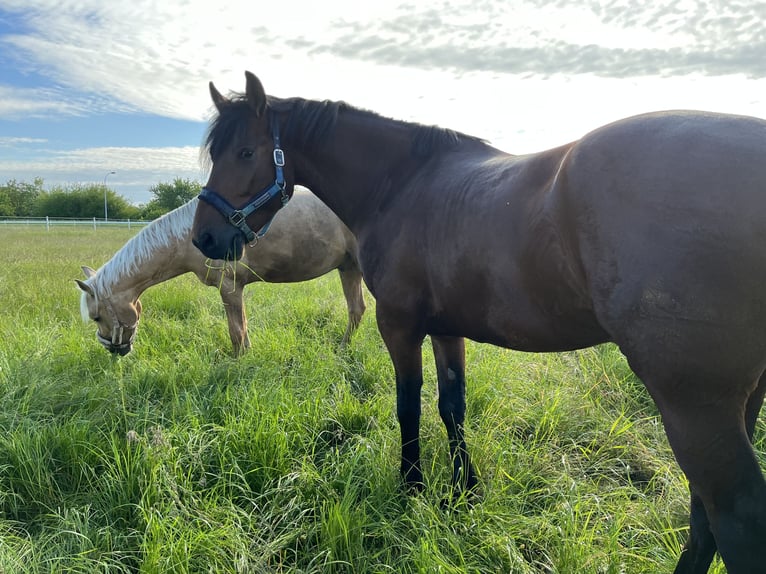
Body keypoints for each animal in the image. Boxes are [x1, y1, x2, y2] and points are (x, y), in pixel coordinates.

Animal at [77, 190, 365, 356]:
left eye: (96, 316)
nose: (116, 351)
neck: (188, 237)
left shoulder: (229, 287)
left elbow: (236, 331)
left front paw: (238, 363)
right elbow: (243, 328)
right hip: (349, 268)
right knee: (356, 310)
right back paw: (342, 350)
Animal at [190, 71, 766, 573]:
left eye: (245, 152)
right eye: (216, 153)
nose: (205, 238)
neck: (401, 184)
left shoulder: (399, 326)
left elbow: (409, 408)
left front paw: (413, 489)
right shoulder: (448, 328)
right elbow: (453, 406)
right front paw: (464, 491)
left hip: (692, 405)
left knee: (733, 516)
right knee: (706, 517)